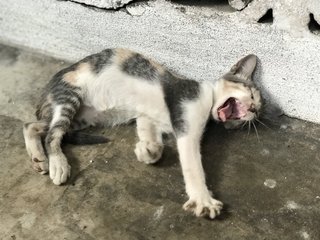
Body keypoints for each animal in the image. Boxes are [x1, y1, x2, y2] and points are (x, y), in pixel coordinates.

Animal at [23, 49, 262, 219]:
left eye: (257, 110)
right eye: (251, 93)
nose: (253, 111)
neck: (210, 96)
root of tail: (45, 93)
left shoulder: (146, 116)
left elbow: (148, 132)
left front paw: (147, 150)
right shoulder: (186, 120)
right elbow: (193, 165)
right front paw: (203, 199)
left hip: (82, 118)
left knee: (32, 125)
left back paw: (39, 158)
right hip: (69, 97)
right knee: (52, 135)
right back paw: (57, 164)